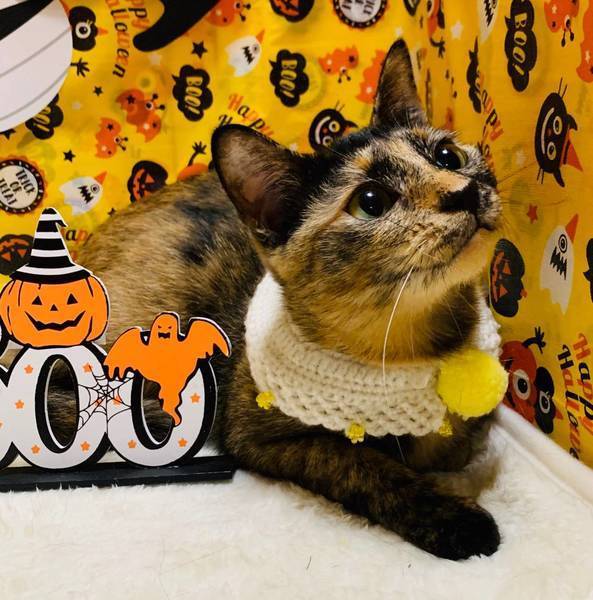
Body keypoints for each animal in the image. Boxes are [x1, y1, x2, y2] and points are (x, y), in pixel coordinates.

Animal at [54, 40, 502, 560]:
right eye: (371, 202)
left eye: (447, 155)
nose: (465, 191)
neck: (416, 352)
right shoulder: (256, 434)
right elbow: (360, 462)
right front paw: (456, 520)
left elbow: (459, 440)